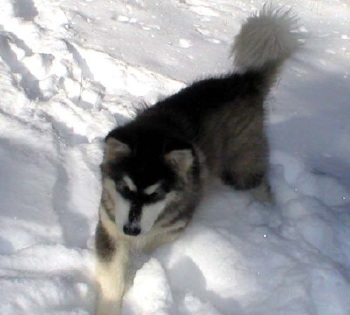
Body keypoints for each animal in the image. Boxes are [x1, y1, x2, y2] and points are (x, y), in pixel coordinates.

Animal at [94, 6, 300, 314]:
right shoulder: (109, 225)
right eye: (124, 188)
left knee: (261, 182)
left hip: (238, 167)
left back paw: (270, 210)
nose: (131, 229)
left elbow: (151, 249)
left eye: (157, 194)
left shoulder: (174, 227)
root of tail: (244, 81)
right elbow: (111, 279)